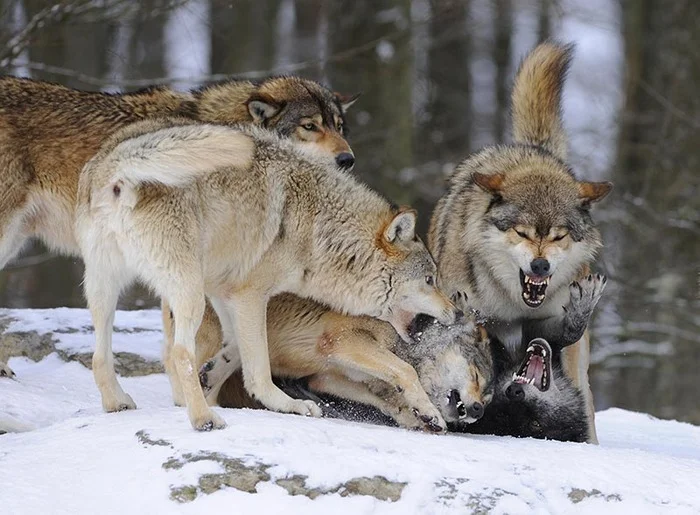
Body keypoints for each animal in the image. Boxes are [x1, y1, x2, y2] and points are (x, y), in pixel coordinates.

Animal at [75, 118, 461, 431]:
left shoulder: (226, 293)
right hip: (189, 292)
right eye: (430, 280)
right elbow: (259, 371)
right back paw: (204, 419)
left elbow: (235, 352)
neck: (319, 228)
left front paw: (212, 377)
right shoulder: (250, 295)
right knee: (179, 354)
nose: (457, 312)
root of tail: (117, 163)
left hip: (105, 288)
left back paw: (118, 403)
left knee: (99, 356)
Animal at [164, 299, 492, 432]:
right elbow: (405, 371)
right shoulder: (345, 342)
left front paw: (414, 418)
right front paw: (429, 413)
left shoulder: (325, 376)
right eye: (476, 376)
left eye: (488, 395)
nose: (479, 411)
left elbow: (384, 399)